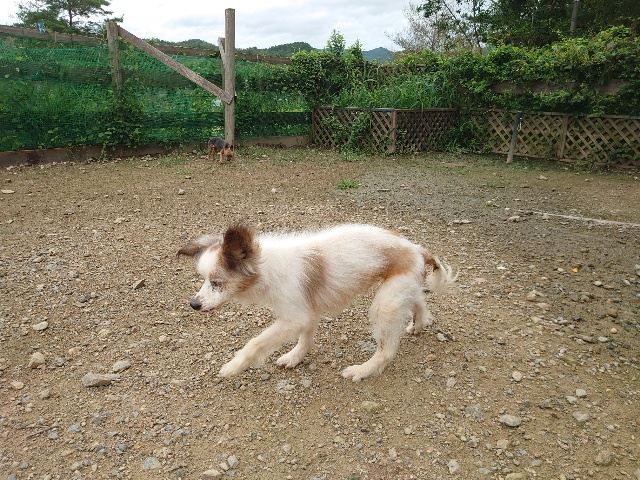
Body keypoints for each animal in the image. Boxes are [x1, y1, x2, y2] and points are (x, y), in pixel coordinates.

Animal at [178, 224, 457, 382]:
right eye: (203, 279)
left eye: (216, 282)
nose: (193, 304)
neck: (266, 268)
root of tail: (417, 248)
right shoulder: (306, 311)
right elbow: (305, 338)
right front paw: (295, 357)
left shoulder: (294, 317)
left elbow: (255, 344)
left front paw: (233, 367)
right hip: (399, 290)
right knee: (419, 301)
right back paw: (418, 324)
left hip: (384, 305)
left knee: (386, 351)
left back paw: (362, 370)